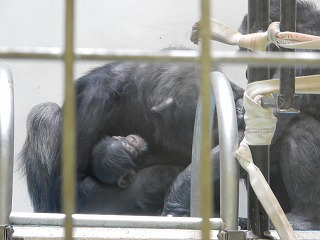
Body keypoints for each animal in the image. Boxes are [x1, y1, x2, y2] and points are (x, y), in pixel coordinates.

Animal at [165, 0, 320, 231]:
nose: (247, 72)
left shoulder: (303, 61)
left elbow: (261, 125)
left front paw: (179, 195)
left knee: (299, 129)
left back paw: (304, 218)